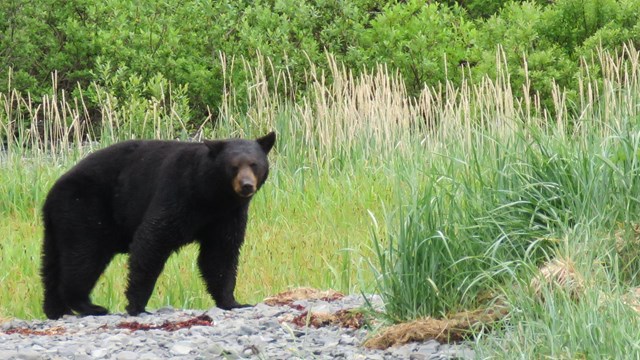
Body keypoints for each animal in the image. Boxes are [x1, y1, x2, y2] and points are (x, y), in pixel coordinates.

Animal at [40, 131, 276, 318]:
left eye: (254, 164)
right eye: (233, 166)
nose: (246, 185)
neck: (211, 195)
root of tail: (51, 194)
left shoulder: (227, 216)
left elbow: (220, 254)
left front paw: (233, 302)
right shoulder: (178, 192)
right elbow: (153, 240)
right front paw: (137, 305)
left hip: (59, 224)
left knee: (52, 264)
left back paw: (56, 309)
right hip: (85, 210)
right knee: (83, 256)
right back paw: (88, 305)